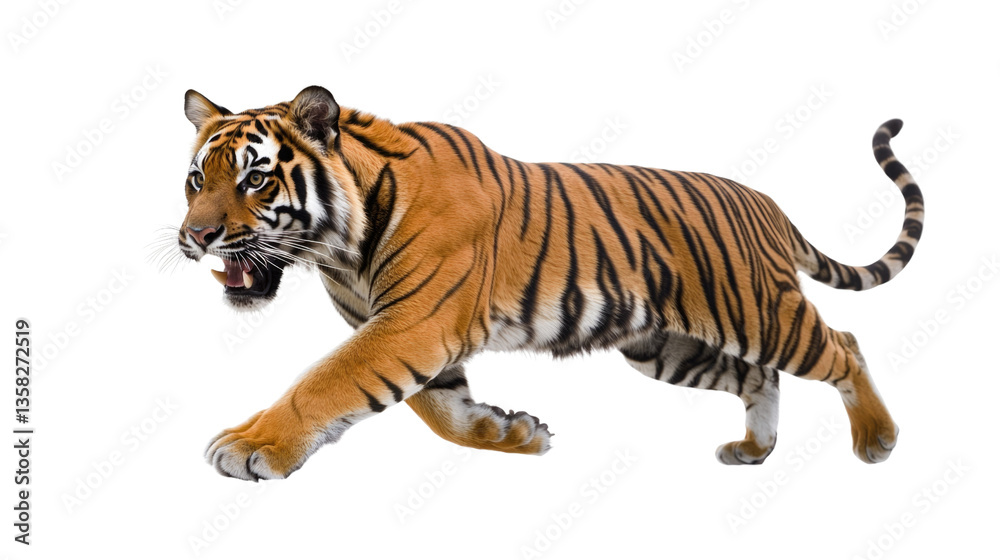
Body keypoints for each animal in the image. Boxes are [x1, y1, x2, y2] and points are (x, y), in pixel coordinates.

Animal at [178, 86, 923, 480]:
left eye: (255, 178)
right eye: (196, 179)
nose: (196, 237)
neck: (340, 247)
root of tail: (765, 202)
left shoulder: (412, 324)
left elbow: (325, 382)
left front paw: (250, 446)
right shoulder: (404, 330)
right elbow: (440, 411)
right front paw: (514, 435)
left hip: (760, 311)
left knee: (843, 345)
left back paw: (879, 439)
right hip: (666, 347)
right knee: (759, 377)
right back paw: (753, 449)